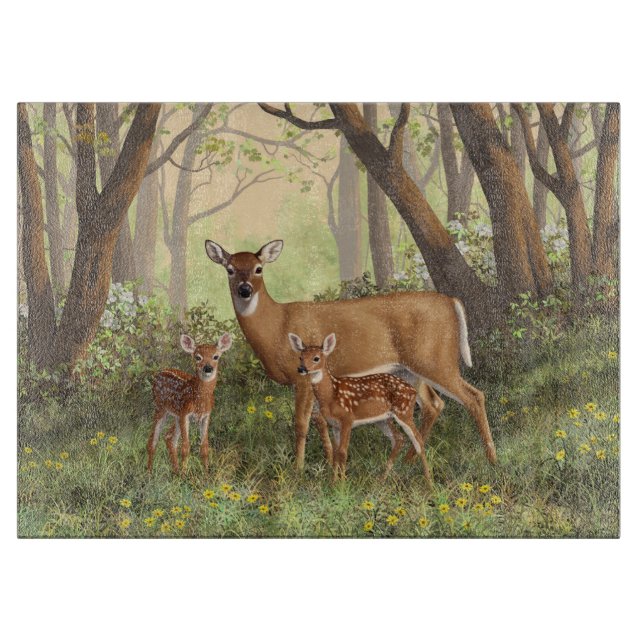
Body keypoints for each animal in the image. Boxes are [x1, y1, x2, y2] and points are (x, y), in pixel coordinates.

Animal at [147, 332, 232, 475]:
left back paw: (175, 471)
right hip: (160, 407)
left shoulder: (206, 416)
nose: (208, 368)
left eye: (216, 356)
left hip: (175, 415)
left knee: (169, 438)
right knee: (153, 439)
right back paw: (149, 472)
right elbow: (186, 447)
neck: (199, 401)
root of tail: (157, 373)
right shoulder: (185, 414)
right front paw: (185, 474)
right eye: (198, 357)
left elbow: (204, 447)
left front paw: (206, 474)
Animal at [288, 332, 432, 483]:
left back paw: (429, 482)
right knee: (398, 439)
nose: (301, 369)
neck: (331, 394)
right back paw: (382, 480)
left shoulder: (347, 418)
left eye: (316, 358)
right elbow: (336, 452)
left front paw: (342, 483)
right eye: (300, 357)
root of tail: (413, 390)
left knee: (418, 441)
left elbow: (343, 452)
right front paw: (332, 481)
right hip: (382, 419)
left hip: (404, 411)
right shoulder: (334, 424)